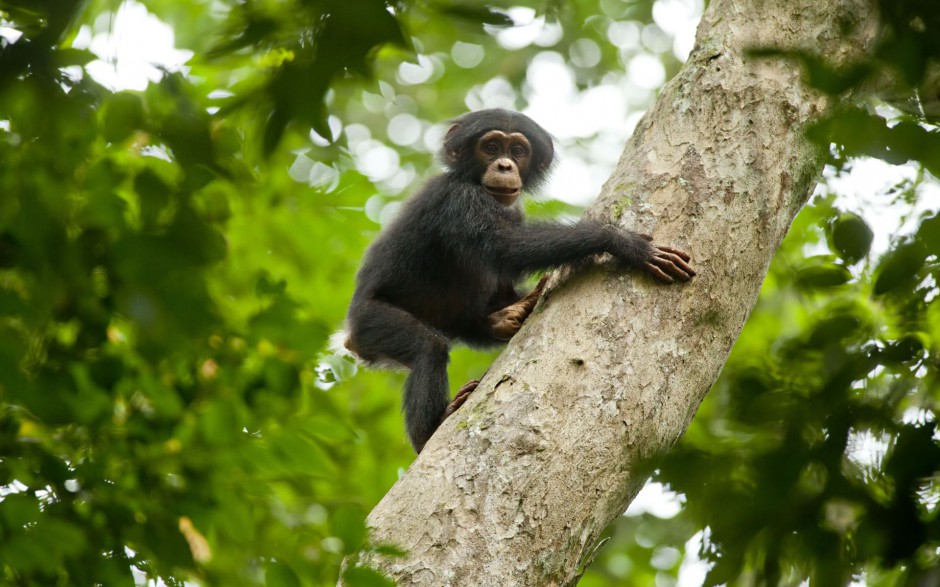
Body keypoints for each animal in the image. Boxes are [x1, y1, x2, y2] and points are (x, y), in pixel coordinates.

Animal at [342, 108, 692, 452]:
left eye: (518, 151)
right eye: (491, 147)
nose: (505, 165)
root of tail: (349, 339)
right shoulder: (458, 199)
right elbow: (506, 245)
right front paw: (622, 241)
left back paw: (504, 318)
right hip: (371, 323)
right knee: (427, 347)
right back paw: (429, 429)